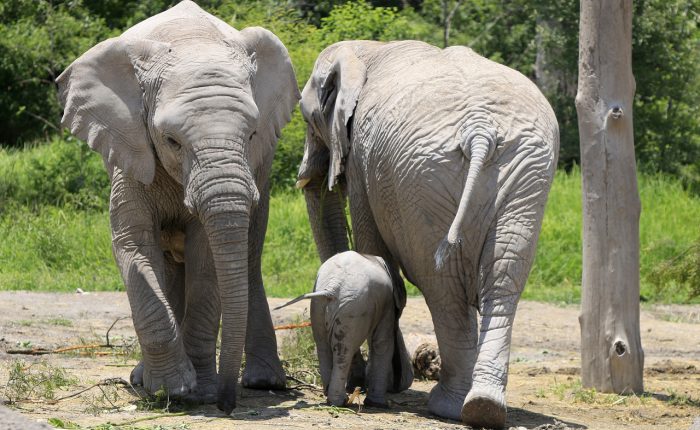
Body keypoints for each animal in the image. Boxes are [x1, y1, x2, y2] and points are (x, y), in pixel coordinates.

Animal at [56, 2, 300, 414]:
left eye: (251, 134)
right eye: (171, 140)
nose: (226, 405)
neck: (191, 42)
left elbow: (207, 260)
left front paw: (199, 392)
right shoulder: (130, 148)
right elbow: (133, 246)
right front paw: (170, 390)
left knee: (248, 259)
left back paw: (265, 383)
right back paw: (145, 379)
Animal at [274, 249, 412, 406]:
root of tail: (332, 287)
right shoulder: (387, 304)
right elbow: (382, 343)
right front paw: (378, 404)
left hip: (320, 306)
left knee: (324, 345)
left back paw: (332, 397)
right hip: (353, 306)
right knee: (343, 351)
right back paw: (340, 402)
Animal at [298, 39, 560, 426]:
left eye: (306, 117)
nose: (355, 379)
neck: (367, 50)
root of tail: (480, 131)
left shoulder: (363, 161)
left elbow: (372, 245)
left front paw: (391, 384)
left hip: (422, 181)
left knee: (441, 287)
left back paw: (450, 406)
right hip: (525, 174)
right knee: (503, 276)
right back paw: (483, 407)